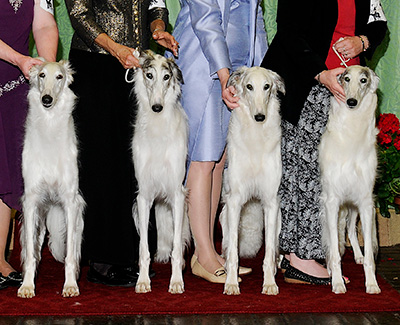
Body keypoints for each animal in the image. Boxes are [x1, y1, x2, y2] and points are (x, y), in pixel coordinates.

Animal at [18, 59, 85, 298]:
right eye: (41, 75)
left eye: (59, 77)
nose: (46, 99)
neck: (48, 125)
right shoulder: (31, 201)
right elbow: (30, 253)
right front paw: (27, 286)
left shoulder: (70, 201)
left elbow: (70, 255)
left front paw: (70, 285)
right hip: (40, 212)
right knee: (35, 247)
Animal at [219, 66, 284, 294]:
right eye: (249, 86)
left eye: (267, 86)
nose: (259, 116)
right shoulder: (235, 200)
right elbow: (233, 253)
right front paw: (231, 283)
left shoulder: (271, 202)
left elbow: (269, 253)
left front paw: (270, 284)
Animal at [318, 65, 382, 294]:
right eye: (346, 78)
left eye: (363, 80)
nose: (351, 102)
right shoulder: (331, 201)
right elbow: (335, 251)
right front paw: (337, 282)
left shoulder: (365, 201)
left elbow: (370, 252)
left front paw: (372, 284)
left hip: (352, 206)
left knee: (352, 232)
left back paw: (358, 256)